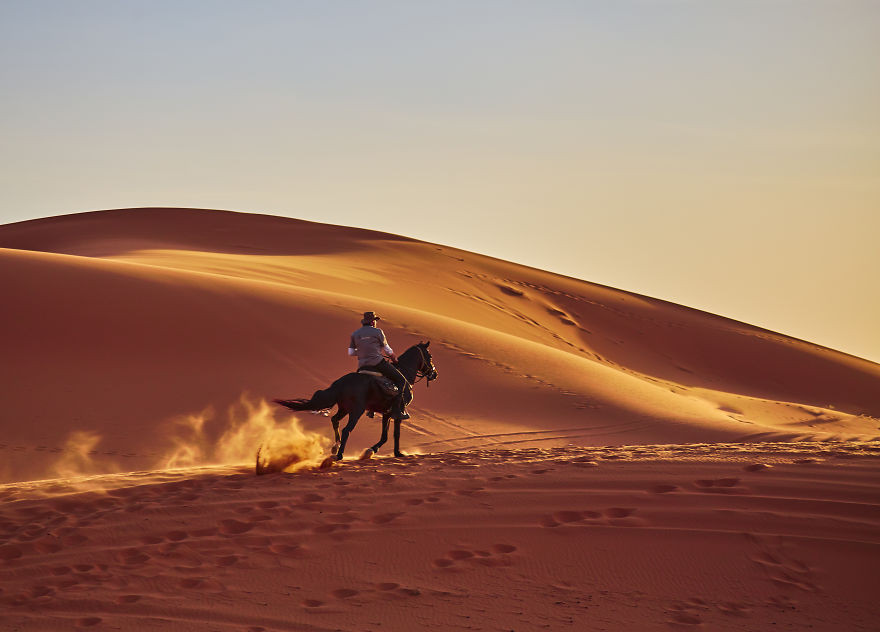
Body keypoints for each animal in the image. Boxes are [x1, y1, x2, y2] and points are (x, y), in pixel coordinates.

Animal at [276, 344, 436, 462]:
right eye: (430, 356)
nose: (434, 374)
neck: (404, 374)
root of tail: (341, 382)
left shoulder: (386, 413)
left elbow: (384, 436)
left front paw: (373, 450)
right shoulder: (397, 413)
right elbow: (395, 434)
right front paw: (396, 453)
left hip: (345, 408)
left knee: (335, 420)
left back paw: (335, 447)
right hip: (356, 411)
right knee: (346, 429)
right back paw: (339, 454)